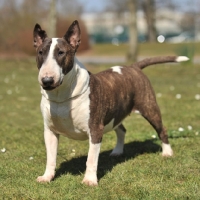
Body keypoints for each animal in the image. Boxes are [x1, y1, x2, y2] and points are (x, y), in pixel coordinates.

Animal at [32, 20, 189, 186]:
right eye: (41, 52)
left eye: (61, 53)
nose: (47, 80)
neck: (60, 95)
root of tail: (133, 67)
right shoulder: (50, 131)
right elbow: (51, 157)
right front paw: (47, 177)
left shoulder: (95, 129)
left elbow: (91, 159)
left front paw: (89, 180)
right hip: (115, 113)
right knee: (122, 130)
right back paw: (117, 151)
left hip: (149, 107)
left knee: (161, 129)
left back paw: (167, 152)